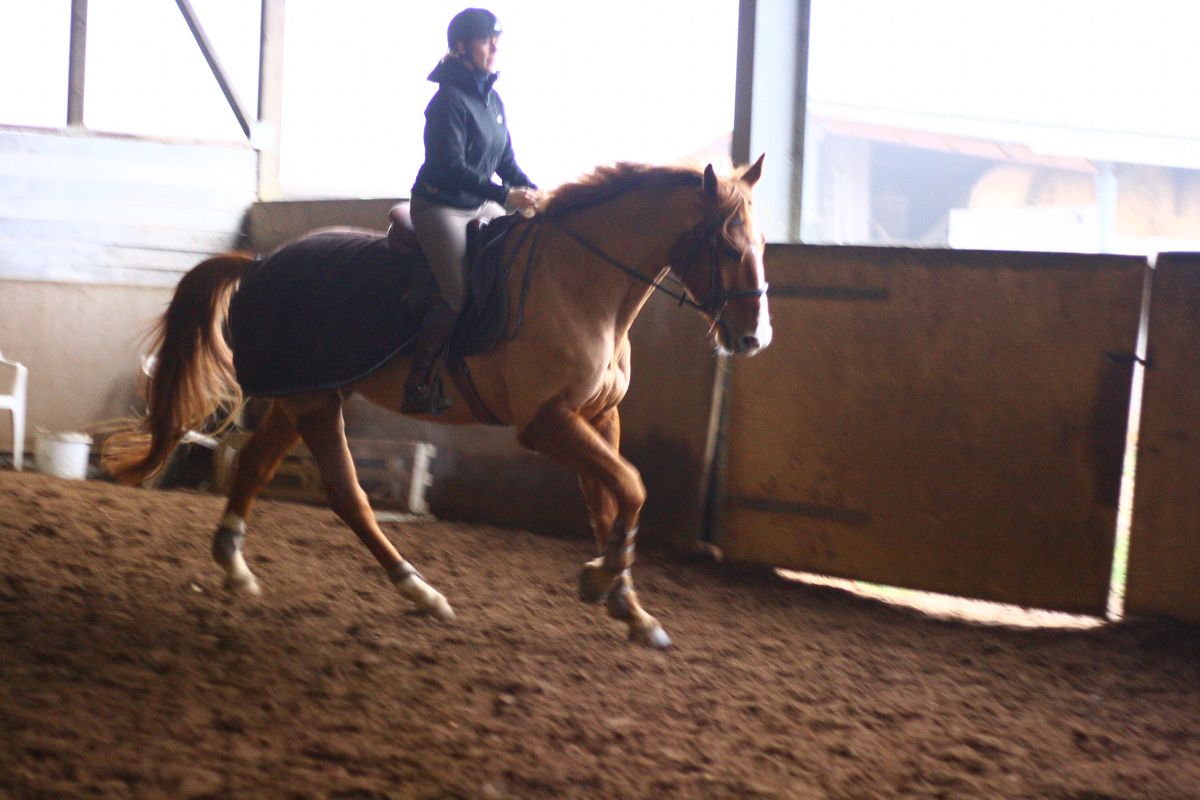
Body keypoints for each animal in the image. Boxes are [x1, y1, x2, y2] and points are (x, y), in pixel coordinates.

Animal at [103, 157, 772, 649]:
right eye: (729, 246)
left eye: (764, 241)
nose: (752, 339)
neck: (582, 285)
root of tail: (262, 262)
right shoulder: (547, 423)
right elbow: (632, 487)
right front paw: (600, 580)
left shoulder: (597, 418)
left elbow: (610, 503)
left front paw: (629, 608)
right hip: (314, 400)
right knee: (347, 495)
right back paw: (418, 590)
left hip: (308, 394)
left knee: (257, 466)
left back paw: (237, 568)